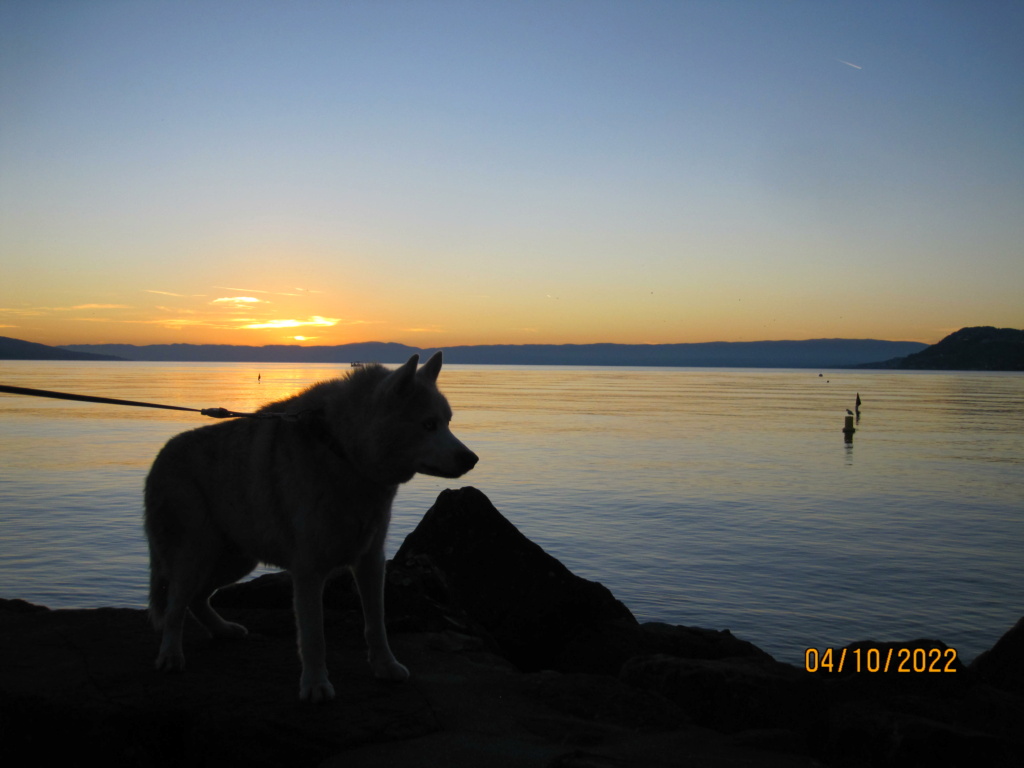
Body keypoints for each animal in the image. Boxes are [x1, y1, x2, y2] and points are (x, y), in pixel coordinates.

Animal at [145, 352, 479, 700]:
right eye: (428, 424)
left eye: (447, 422)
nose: (471, 458)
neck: (343, 452)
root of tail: (159, 458)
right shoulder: (309, 569)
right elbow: (314, 636)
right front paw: (316, 685)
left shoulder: (371, 561)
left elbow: (376, 624)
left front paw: (385, 667)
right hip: (194, 556)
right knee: (174, 608)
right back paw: (170, 656)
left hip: (236, 559)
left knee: (197, 599)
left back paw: (223, 629)